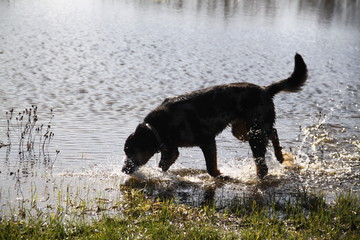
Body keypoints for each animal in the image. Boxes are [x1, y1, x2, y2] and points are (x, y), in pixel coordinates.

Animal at [122, 53, 308, 179]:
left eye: (132, 150)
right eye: (126, 151)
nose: (123, 169)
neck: (159, 126)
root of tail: (265, 89)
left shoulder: (207, 141)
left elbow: (211, 169)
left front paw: (222, 176)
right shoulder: (172, 149)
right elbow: (163, 165)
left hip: (254, 132)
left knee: (263, 161)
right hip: (243, 131)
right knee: (273, 132)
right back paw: (280, 156)